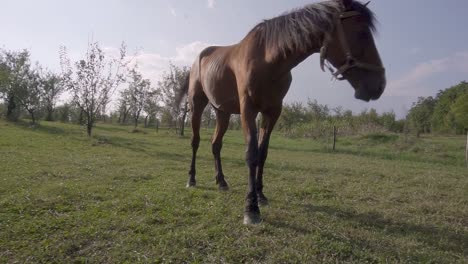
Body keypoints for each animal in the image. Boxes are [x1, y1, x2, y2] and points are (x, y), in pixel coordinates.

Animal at [177, 0, 386, 225]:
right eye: (362, 33)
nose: (379, 86)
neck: (266, 60)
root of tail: (199, 58)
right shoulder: (248, 110)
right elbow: (251, 154)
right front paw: (251, 208)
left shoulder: (272, 112)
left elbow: (263, 153)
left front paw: (260, 195)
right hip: (197, 104)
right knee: (195, 142)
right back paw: (191, 179)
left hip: (222, 112)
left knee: (216, 145)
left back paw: (222, 182)